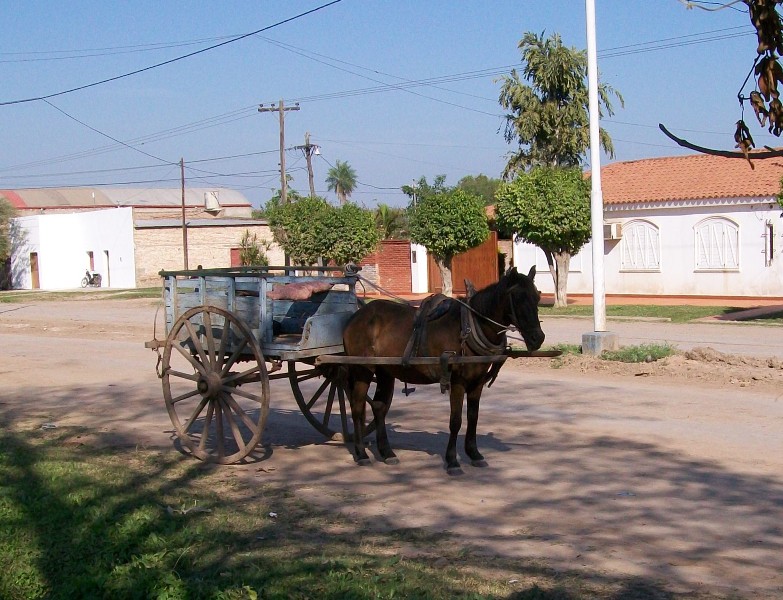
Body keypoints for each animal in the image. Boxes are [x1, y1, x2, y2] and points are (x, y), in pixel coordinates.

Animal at [344, 268, 544, 474]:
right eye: (518, 298)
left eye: (537, 297)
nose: (538, 338)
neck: (469, 328)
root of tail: (357, 315)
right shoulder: (457, 382)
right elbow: (455, 421)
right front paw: (452, 460)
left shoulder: (477, 382)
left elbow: (473, 417)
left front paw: (474, 453)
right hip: (363, 370)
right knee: (357, 406)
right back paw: (361, 453)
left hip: (385, 371)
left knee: (378, 406)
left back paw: (386, 452)